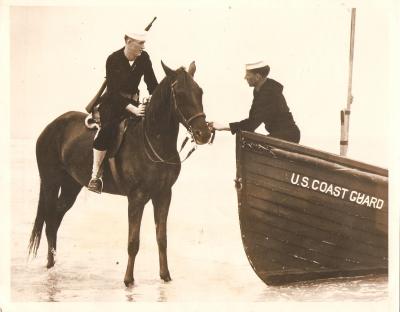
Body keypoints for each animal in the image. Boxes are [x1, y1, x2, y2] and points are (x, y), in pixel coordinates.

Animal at [28, 60, 212, 286]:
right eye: (180, 93)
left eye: (199, 92)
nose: (204, 133)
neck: (152, 140)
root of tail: (51, 126)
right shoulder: (136, 198)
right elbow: (133, 241)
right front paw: (128, 279)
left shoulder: (163, 195)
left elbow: (162, 238)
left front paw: (165, 275)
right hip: (50, 183)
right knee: (49, 219)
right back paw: (49, 265)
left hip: (72, 185)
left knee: (55, 218)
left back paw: (52, 263)